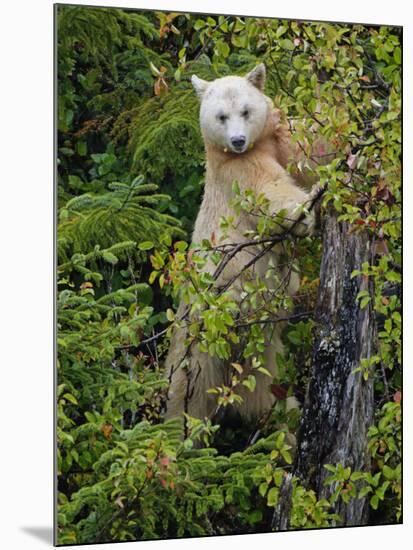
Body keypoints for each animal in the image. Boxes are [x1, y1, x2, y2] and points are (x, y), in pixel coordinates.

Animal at [163, 66, 318, 426]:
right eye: (221, 116)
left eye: (245, 111)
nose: (237, 140)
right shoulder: (236, 169)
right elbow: (268, 189)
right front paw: (305, 212)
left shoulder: (275, 137)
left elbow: (309, 146)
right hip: (200, 335)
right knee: (185, 392)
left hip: (258, 353)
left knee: (267, 390)